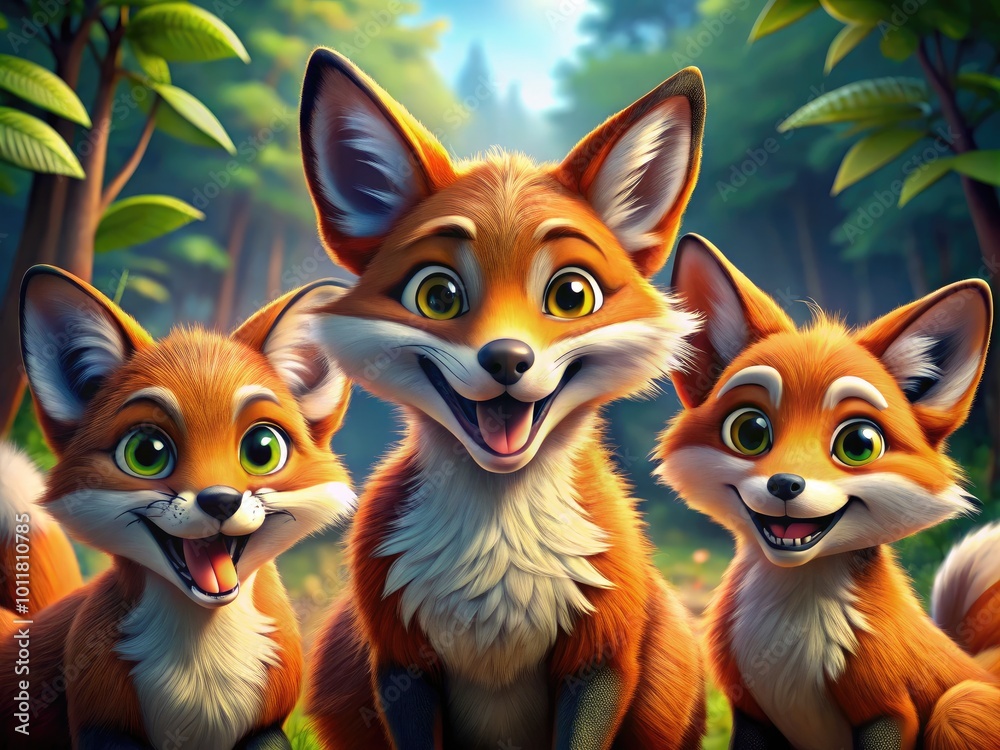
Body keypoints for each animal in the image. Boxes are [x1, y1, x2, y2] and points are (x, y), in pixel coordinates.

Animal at [0, 266, 356, 750]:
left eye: (262, 450)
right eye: (146, 453)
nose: (221, 499)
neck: (202, 672)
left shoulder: (264, 729)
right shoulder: (103, 728)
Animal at [300, 49, 708, 750]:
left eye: (571, 294)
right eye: (438, 295)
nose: (508, 359)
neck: (498, 550)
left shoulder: (600, 652)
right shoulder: (399, 659)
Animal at [656, 234, 1000, 750]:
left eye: (858, 444)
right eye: (750, 431)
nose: (785, 484)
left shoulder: (888, 710)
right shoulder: (750, 709)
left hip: (961, 708)